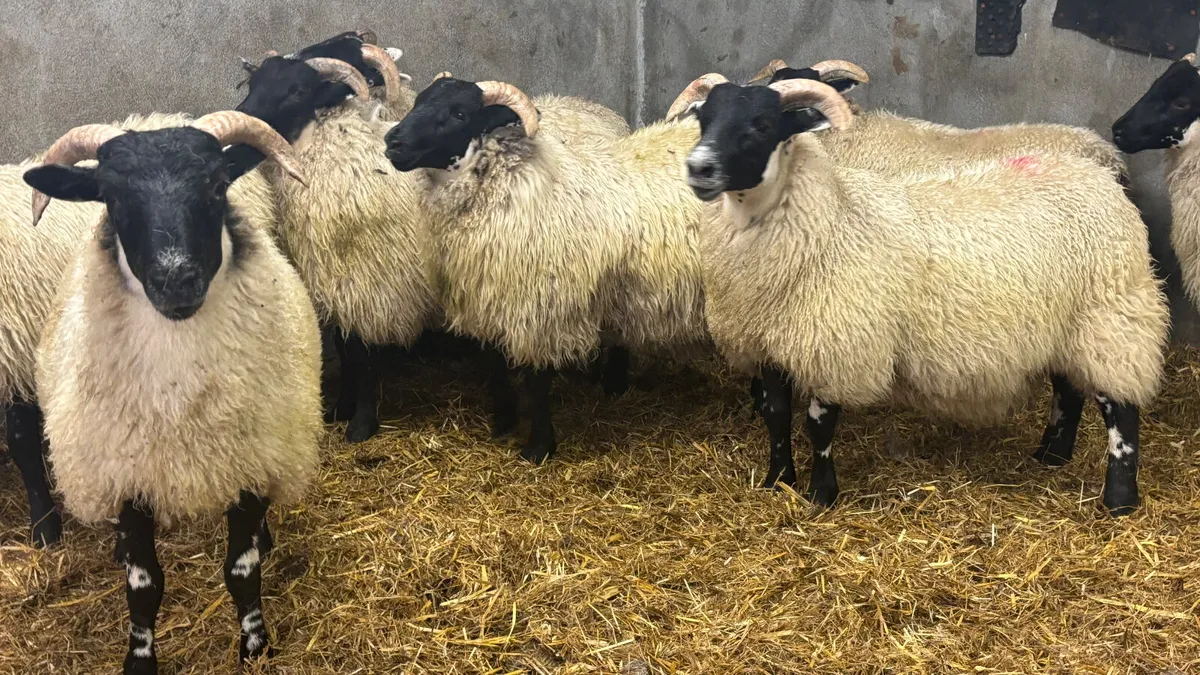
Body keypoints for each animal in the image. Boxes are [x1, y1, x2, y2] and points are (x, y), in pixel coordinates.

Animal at [23, 110, 319, 672]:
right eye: (110, 197)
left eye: (217, 184)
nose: (176, 279)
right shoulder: (127, 476)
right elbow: (144, 586)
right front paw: (140, 659)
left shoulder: (247, 464)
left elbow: (242, 571)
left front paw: (255, 647)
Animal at [385, 76, 717, 464]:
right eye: (419, 100)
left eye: (460, 113)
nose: (392, 142)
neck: (513, 185)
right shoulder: (487, 295)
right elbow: (495, 366)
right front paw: (503, 422)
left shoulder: (541, 306)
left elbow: (536, 380)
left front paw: (539, 447)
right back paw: (614, 386)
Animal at [684, 77, 1168, 516]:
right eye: (704, 119)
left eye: (762, 124)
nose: (697, 168)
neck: (832, 216)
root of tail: (1101, 176)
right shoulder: (765, 341)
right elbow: (777, 416)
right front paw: (777, 480)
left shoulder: (839, 347)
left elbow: (818, 427)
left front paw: (821, 496)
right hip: (1069, 322)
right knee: (1068, 388)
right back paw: (1051, 455)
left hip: (1112, 314)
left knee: (1120, 410)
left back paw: (1119, 501)